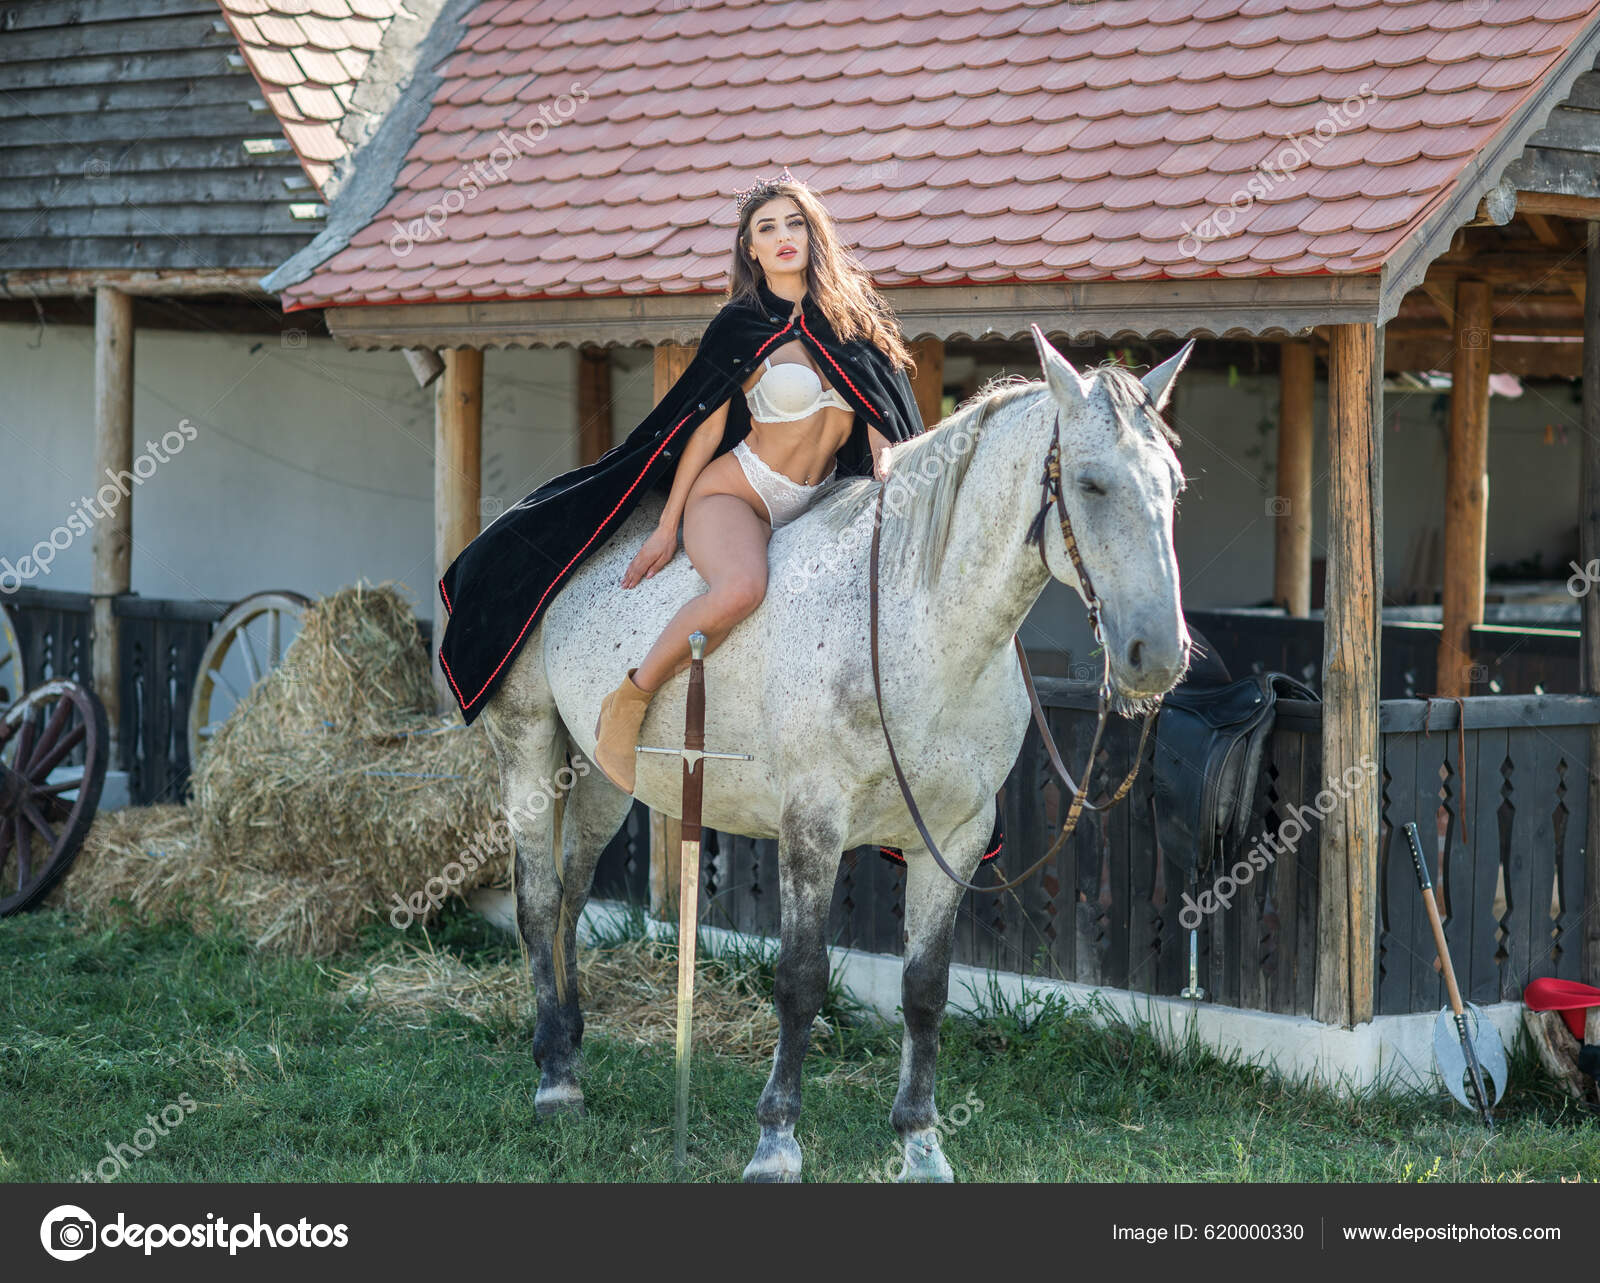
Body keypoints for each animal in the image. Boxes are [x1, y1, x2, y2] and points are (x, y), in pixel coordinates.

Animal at [480, 327, 1196, 1177]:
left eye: (1174, 487)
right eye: (1090, 483)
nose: (1157, 654)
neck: (912, 628)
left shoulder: (954, 838)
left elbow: (925, 986)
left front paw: (921, 1141)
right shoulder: (812, 828)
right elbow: (800, 977)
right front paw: (776, 1139)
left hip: (603, 776)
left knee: (573, 895)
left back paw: (572, 1046)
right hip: (528, 747)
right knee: (537, 899)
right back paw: (556, 1079)